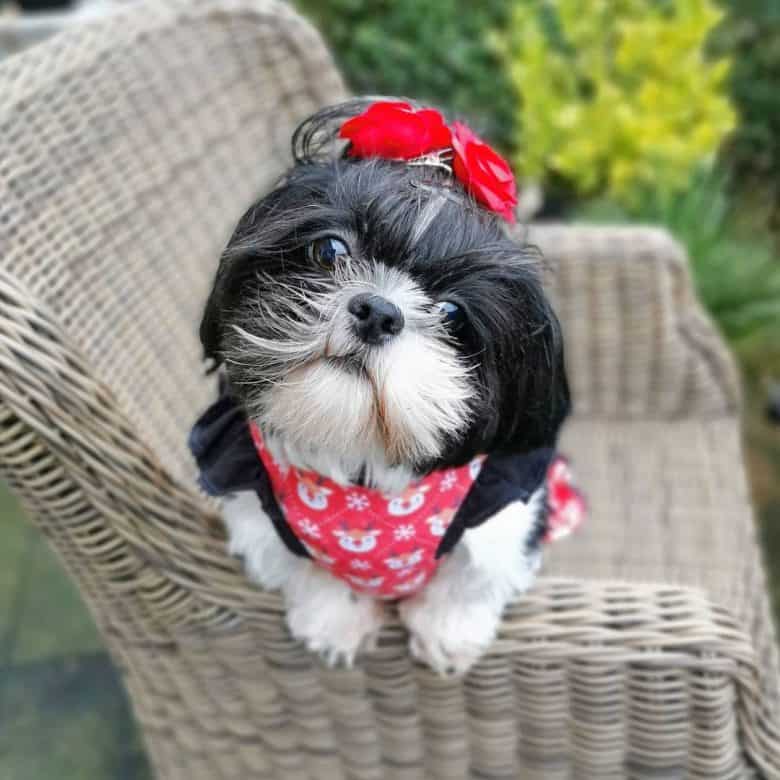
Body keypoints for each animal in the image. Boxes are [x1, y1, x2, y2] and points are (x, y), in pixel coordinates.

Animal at [189, 97, 580, 672]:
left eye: (451, 312)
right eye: (329, 250)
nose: (377, 311)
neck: (362, 471)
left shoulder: (502, 514)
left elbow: (469, 581)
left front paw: (448, 633)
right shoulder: (256, 510)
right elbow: (310, 572)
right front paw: (336, 622)